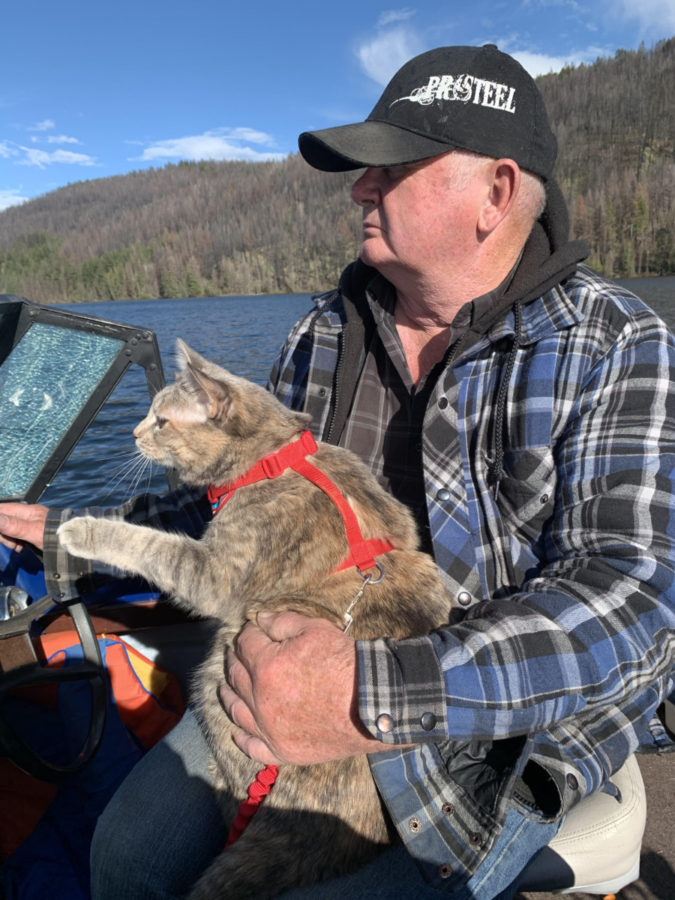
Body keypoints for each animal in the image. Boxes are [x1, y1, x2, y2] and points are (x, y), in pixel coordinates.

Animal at [55, 342, 452, 896]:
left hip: (219, 665)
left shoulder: (213, 576)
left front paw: (83, 530)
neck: (274, 458)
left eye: (161, 420)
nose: (133, 432)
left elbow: (150, 545)